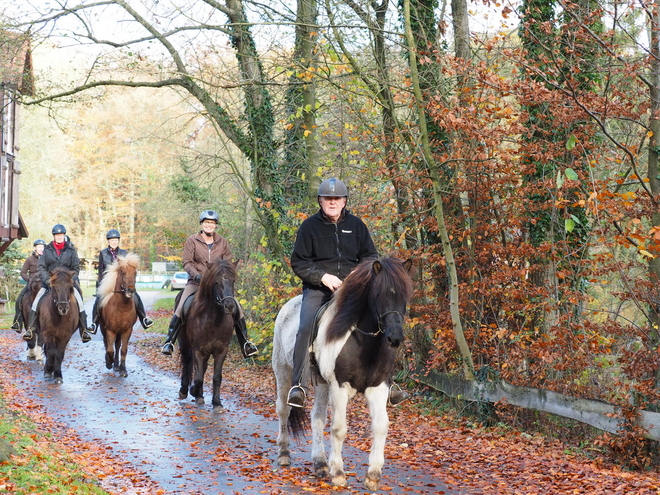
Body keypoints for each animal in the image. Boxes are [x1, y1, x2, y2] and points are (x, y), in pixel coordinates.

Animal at [179, 260, 238, 410]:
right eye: (216, 282)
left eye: (233, 281)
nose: (230, 306)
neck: (213, 320)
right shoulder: (198, 350)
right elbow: (198, 378)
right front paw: (194, 391)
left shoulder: (221, 350)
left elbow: (216, 377)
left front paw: (216, 402)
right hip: (184, 345)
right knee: (186, 363)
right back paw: (185, 391)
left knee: (203, 368)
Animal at [272, 258, 412, 490]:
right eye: (379, 294)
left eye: (405, 295)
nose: (395, 338)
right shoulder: (339, 387)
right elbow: (339, 429)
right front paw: (338, 473)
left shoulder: (378, 388)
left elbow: (381, 426)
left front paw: (373, 475)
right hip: (284, 373)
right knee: (283, 410)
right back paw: (284, 453)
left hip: (321, 383)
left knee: (317, 417)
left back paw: (320, 464)